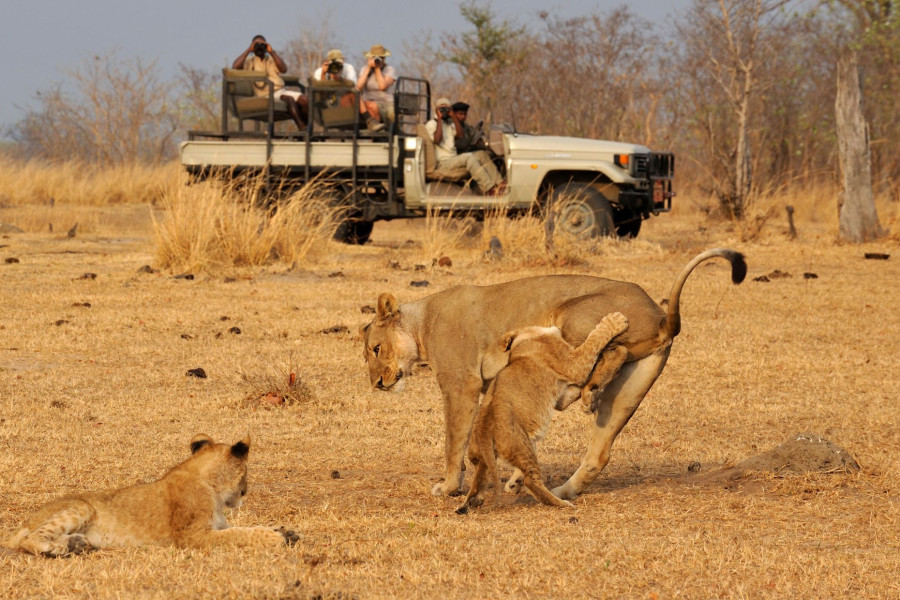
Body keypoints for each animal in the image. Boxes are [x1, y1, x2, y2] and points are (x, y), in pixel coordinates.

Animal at [5, 434, 299, 556]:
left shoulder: (215, 526)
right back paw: (55, 549)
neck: (209, 484)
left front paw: (285, 531)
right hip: (82, 507)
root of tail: (25, 521)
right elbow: (239, 534)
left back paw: (76, 545)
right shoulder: (191, 537)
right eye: (246, 472)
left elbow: (245, 528)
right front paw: (276, 538)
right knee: (30, 539)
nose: (246, 491)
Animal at [458, 312, 629, 513]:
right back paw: (562, 503)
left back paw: (473, 501)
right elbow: (594, 340)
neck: (524, 338)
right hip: (522, 447)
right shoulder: (573, 363)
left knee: (479, 478)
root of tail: (484, 430)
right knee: (531, 482)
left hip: (481, 459)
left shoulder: (563, 395)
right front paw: (615, 321)